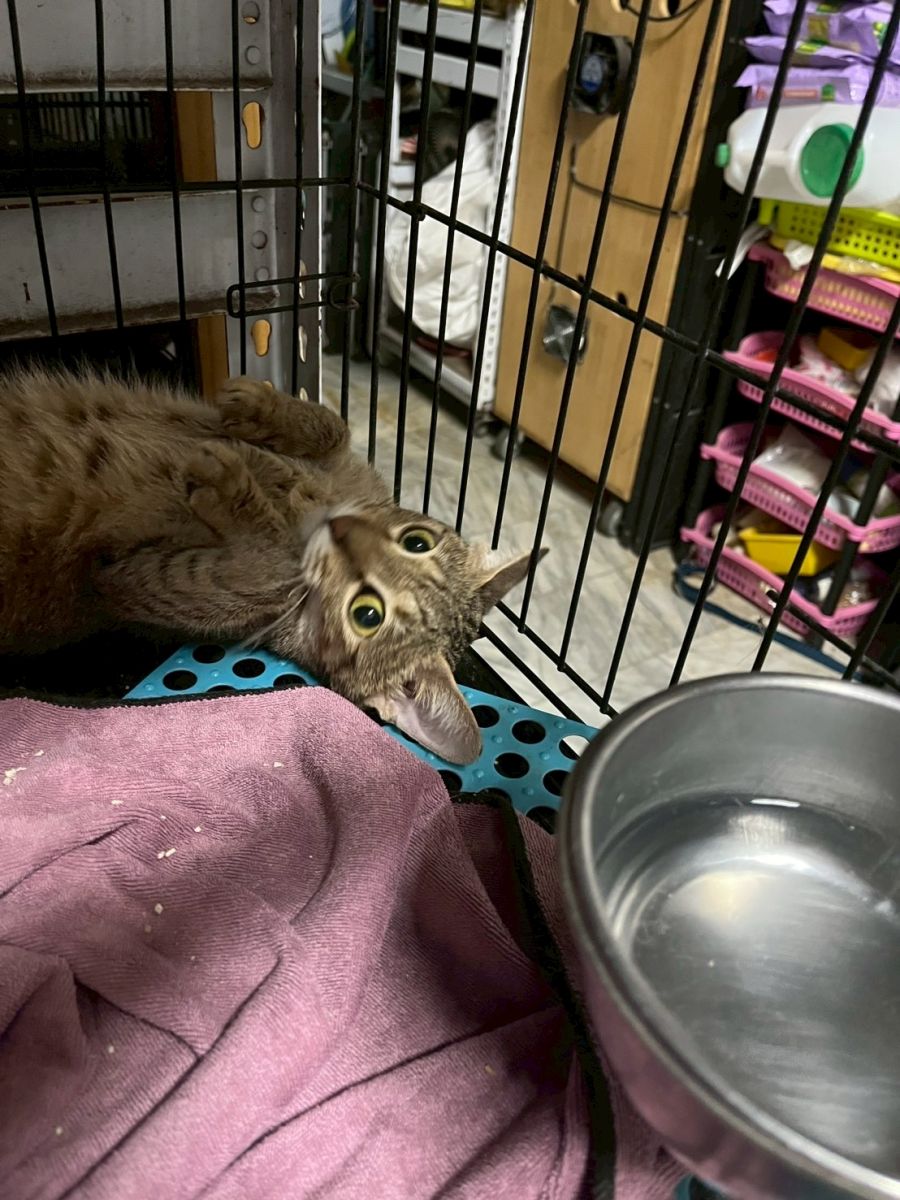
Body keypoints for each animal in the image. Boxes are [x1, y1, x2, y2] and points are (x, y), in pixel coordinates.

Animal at [0, 368, 544, 762]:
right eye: (416, 541)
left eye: (367, 615)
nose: (341, 531)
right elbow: (335, 425)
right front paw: (263, 407)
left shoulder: (129, 581)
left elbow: (274, 555)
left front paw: (231, 490)